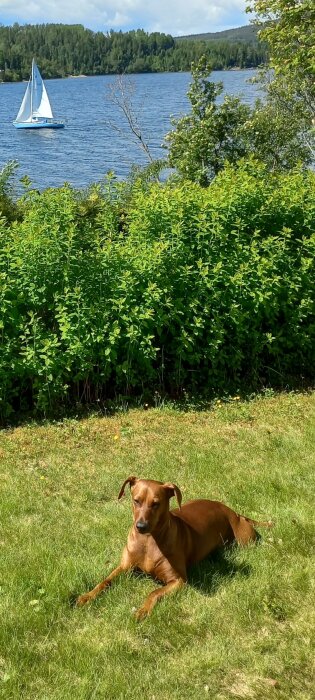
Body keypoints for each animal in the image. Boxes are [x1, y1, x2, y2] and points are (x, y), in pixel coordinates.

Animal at [76, 478, 272, 620]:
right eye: (136, 500)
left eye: (156, 503)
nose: (141, 526)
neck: (148, 541)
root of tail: (233, 512)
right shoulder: (124, 567)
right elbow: (105, 581)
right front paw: (87, 596)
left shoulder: (178, 580)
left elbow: (154, 592)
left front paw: (142, 610)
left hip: (245, 541)